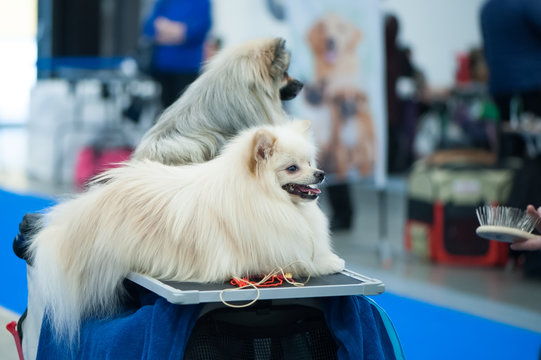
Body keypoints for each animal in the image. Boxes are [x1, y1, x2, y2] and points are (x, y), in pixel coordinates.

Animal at [29, 120, 344, 344]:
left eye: (311, 163)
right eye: (292, 168)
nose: (320, 174)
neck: (261, 196)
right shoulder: (271, 252)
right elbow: (307, 260)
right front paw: (332, 261)